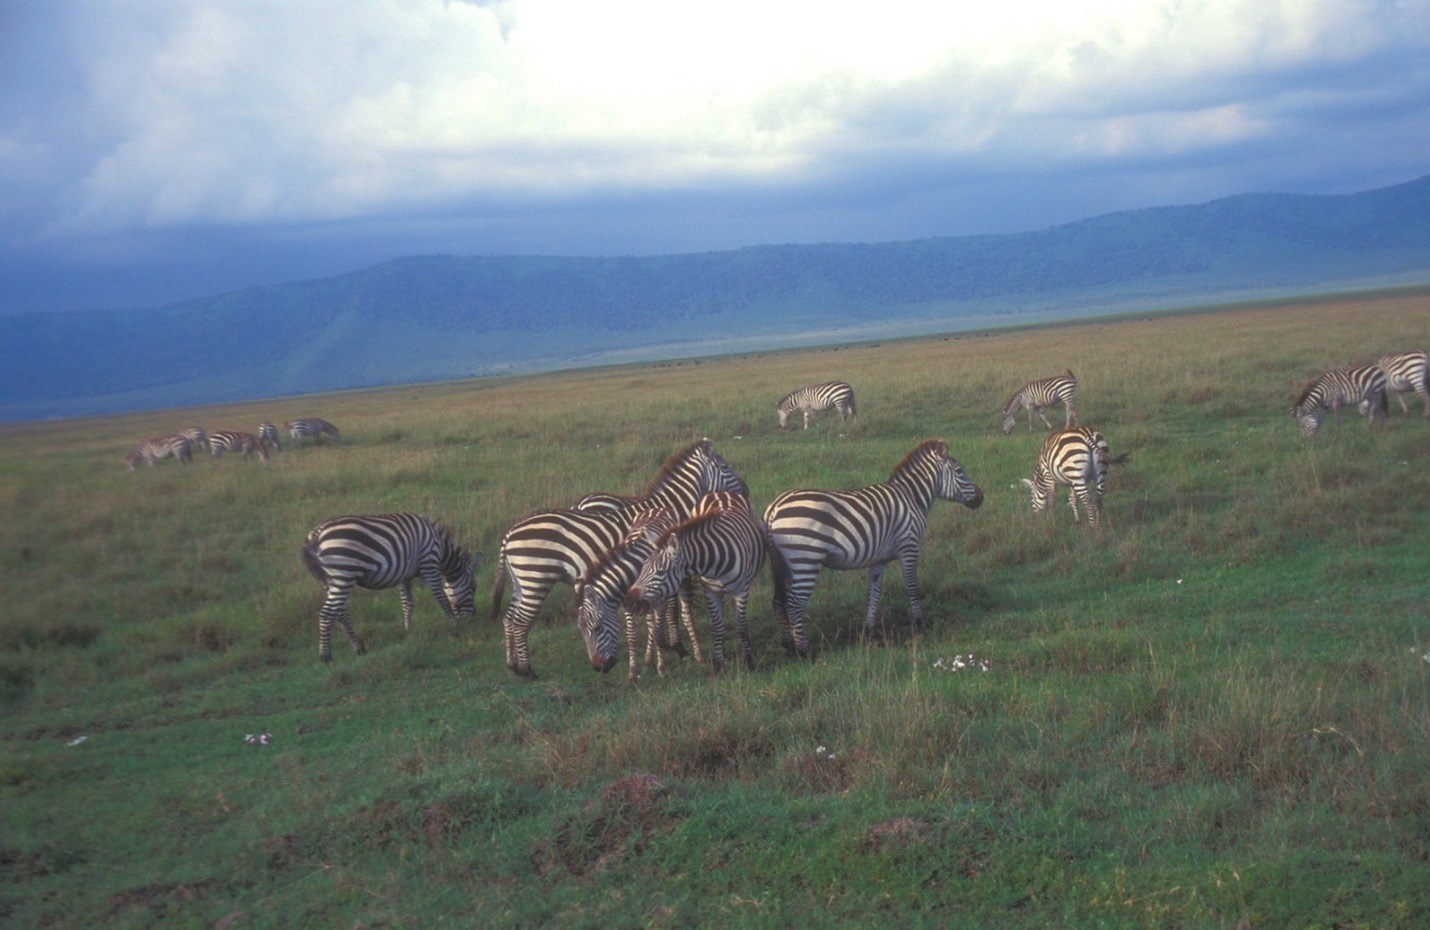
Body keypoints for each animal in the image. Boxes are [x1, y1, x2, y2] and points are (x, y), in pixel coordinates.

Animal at [301, 513, 481, 662]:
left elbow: (407, 603)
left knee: (339, 612)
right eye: (474, 588)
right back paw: (325, 656)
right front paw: (455, 628)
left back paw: (358, 647)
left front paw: (409, 631)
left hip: (329, 579)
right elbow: (442, 598)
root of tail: (317, 534)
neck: (441, 548)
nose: (473, 617)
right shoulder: (429, 564)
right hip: (343, 573)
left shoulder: (404, 576)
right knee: (326, 613)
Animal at [492, 439, 748, 679]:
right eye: (725, 467)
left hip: (521, 581)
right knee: (520, 622)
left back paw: (513, 666)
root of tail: (509, 533)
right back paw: (528, 671)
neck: (667, 507)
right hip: (536, 578)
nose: (745, 490)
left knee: (509, 618)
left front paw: (662, 651)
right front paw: (677, 649)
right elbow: (674, 609)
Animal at [626, 492, 768, 674]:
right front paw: (719, 664)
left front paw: (749, 661)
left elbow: (741, 627)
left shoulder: (741, 591)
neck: (715, 560)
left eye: (661, 572)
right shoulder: (710, 591)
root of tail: (719, 492)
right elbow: (717, 627)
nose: (630, 599)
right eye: (643, 567)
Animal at [763, 439, 982, 658]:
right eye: (959, 470)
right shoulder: (909, 546)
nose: (981, 497)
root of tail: (774, 507)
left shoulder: (879, 560)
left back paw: (788, 645)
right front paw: (920, 625)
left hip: (781, 563)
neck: (913, 497)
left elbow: (873, 594)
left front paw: (869, 633)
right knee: (795, 603)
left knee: (778, 601)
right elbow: (912, 586)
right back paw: (806, 652)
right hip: (806, 559)